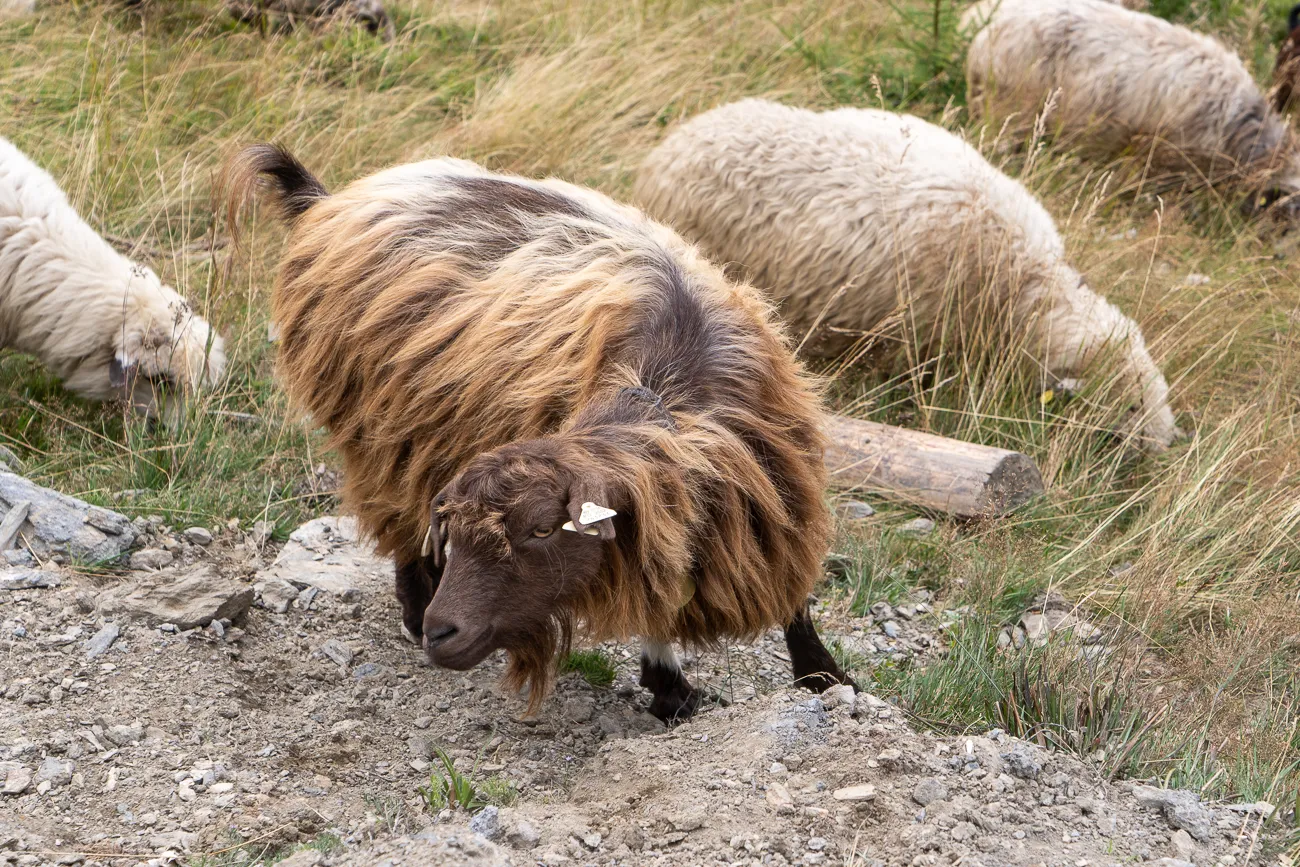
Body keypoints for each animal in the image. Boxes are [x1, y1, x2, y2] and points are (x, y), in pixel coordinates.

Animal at [224, 144, 855, 720]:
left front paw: (824, 676)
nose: (444, 634)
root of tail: (331, 202)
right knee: (396, 515)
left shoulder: (772, 496)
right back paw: (414, 609)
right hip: (380, 433)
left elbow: (791, 602)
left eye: (545, 530)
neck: (674, 373)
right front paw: (672, 689)